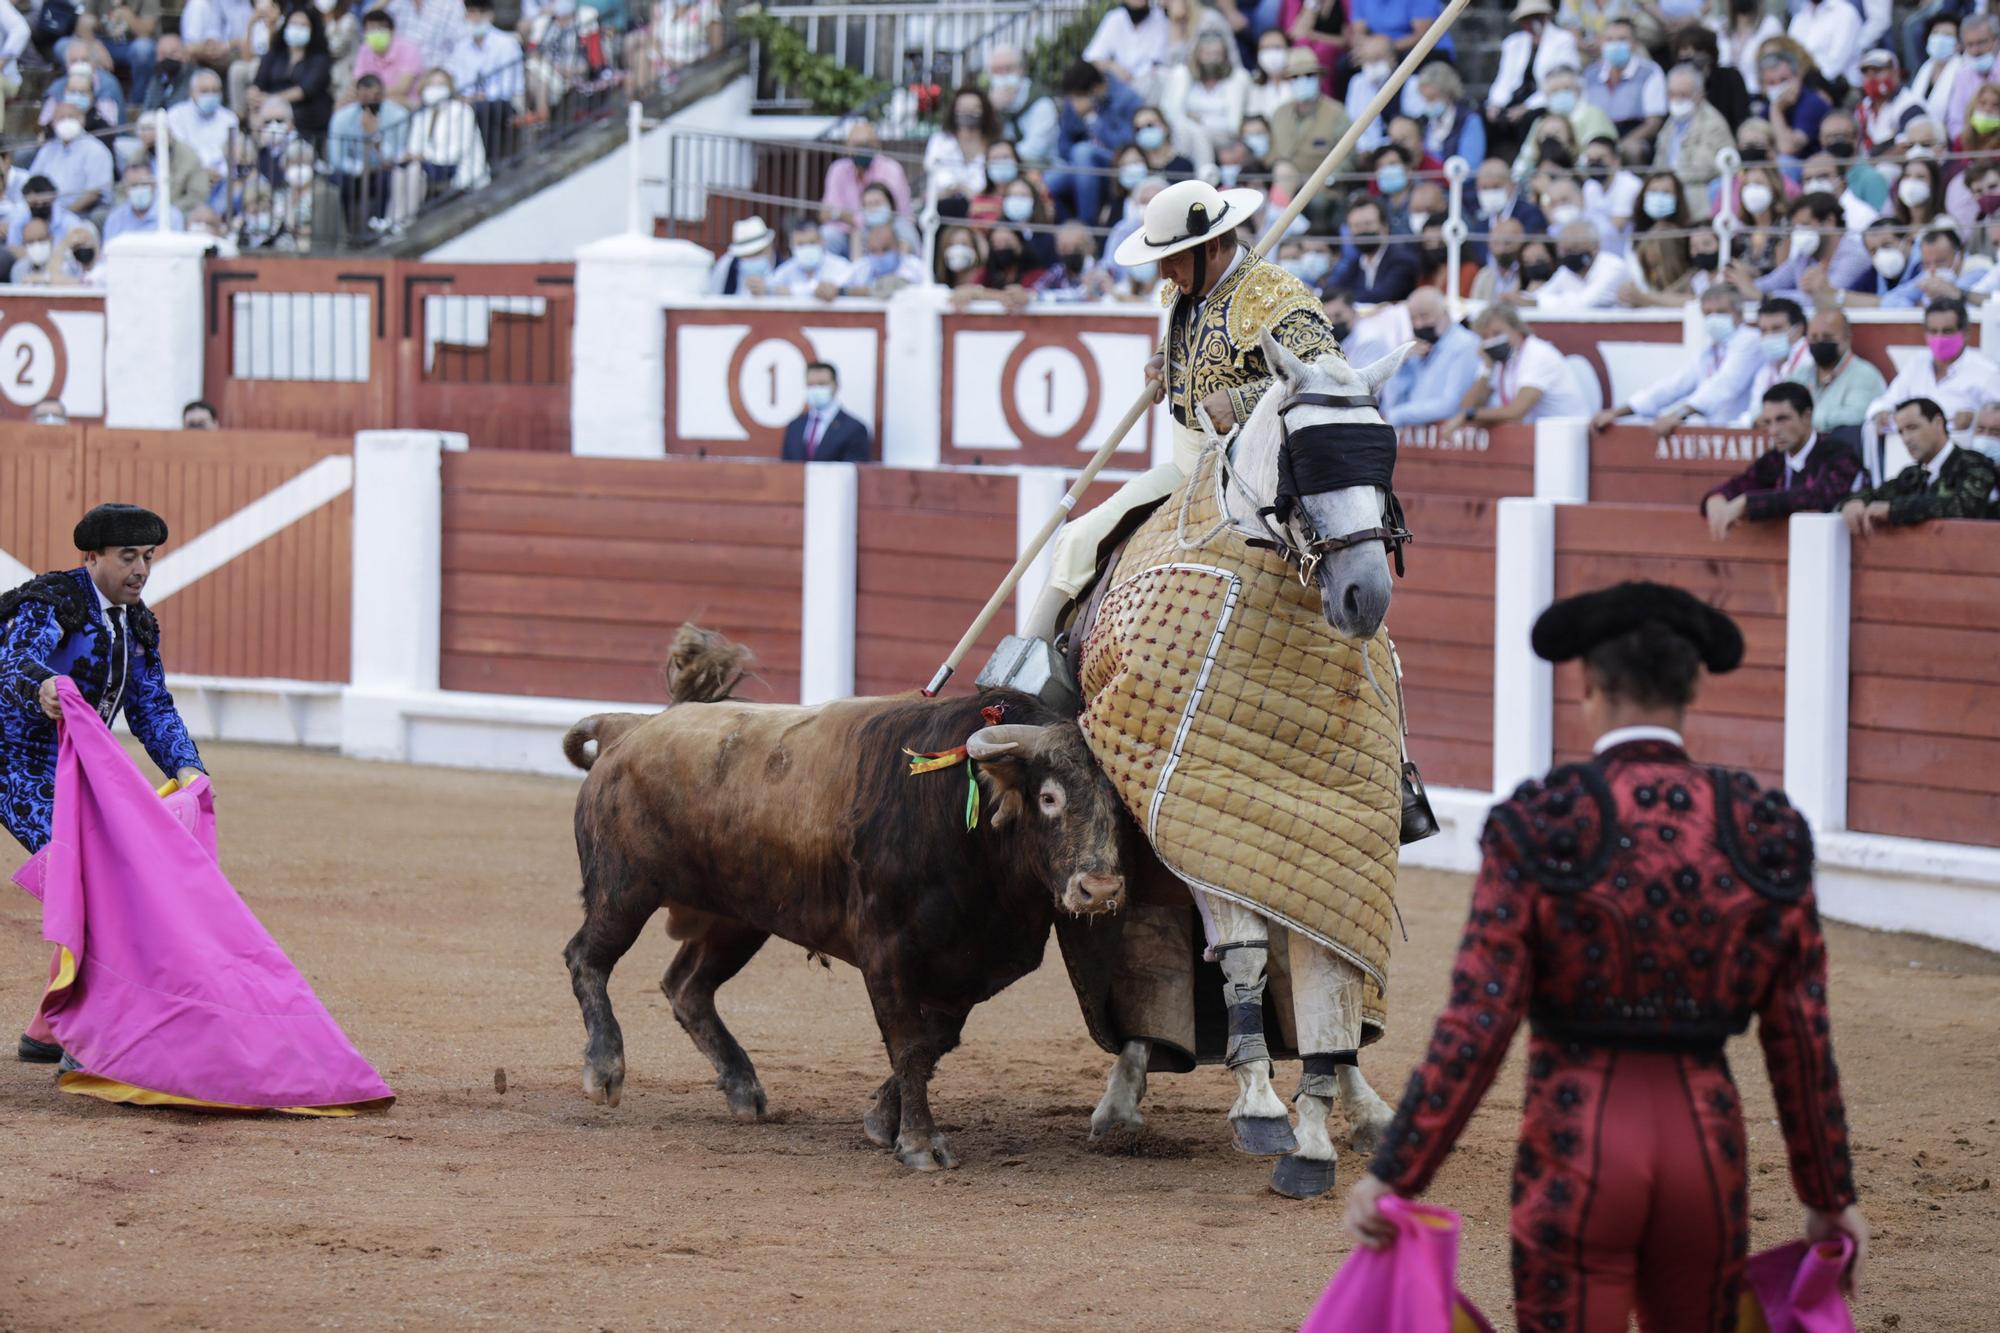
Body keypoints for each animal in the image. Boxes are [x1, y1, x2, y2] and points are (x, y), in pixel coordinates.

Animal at [556, 628, 1136, 1168]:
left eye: (1122, 810)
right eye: (1049, 797)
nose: (1099, 890)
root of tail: (628, 729)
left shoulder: (975, 966)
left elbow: (932, 1044)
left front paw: (882, 1120)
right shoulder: (886, 950)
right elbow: (909, 1043)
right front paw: (919, 1143)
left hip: (736, 918)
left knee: (688, 987)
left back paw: (743, 1088)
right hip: (623, 890)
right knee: (587, 957)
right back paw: (604, 1070)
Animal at [1096, 330, 1408, 1192]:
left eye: (1386, 460)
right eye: (1308, 460)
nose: (1365, 594)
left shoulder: (1325, 837)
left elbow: (1327, 971)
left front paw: (1313, 1129)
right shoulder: (1196, 818)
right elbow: (1240, 954)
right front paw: (1263, 1103)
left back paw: (1365, 1102)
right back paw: (1123, 1096)